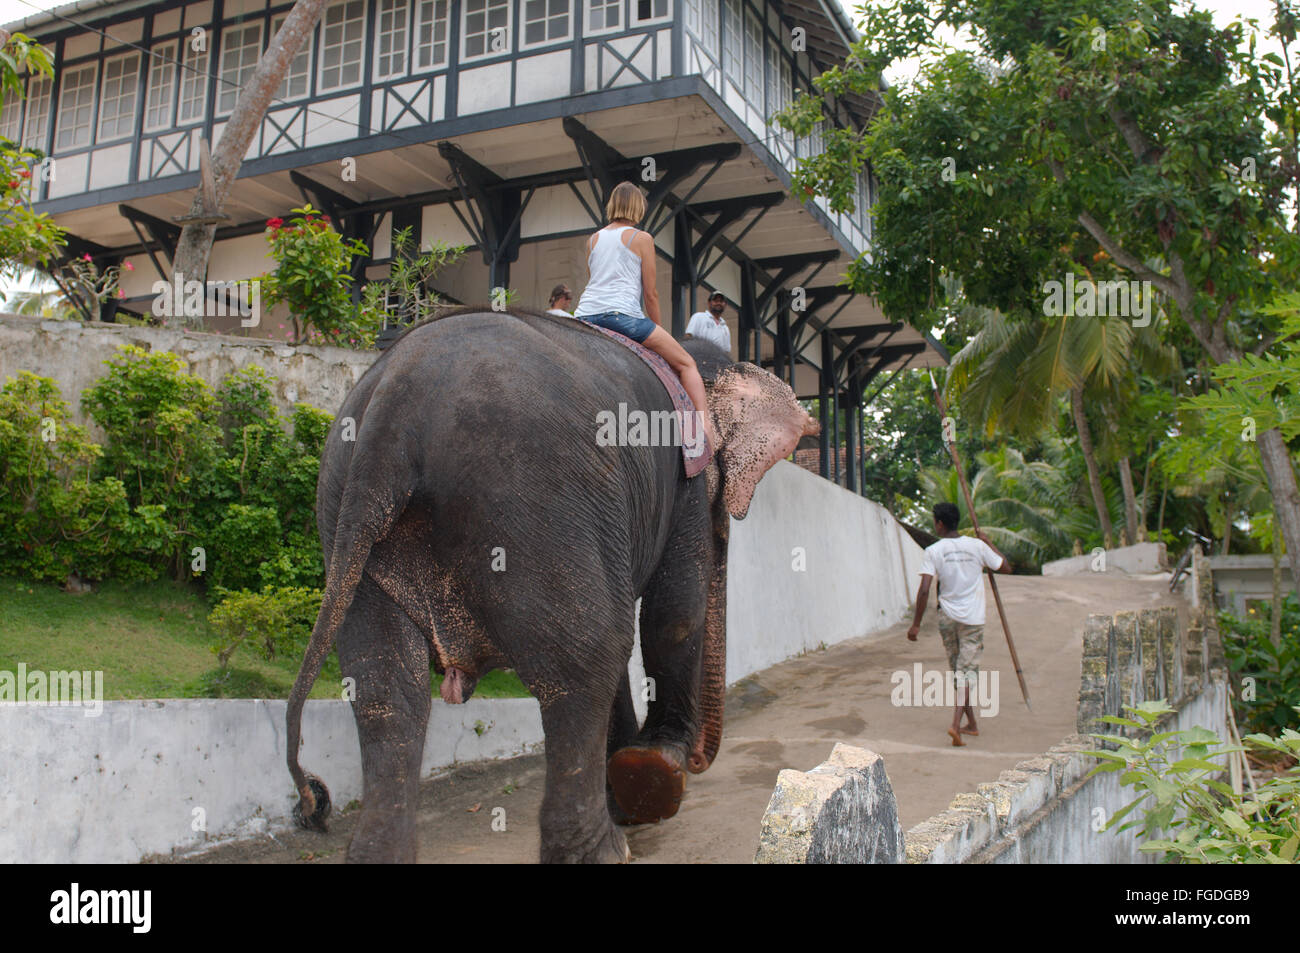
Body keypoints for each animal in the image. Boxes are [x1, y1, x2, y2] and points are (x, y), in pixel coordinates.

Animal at [286, 306, 819, 863]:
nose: (697, 761)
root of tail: (393, 408)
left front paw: (631, 783)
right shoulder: (684, 476)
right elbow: (672, 614)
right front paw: (652, 770)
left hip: (348, 518)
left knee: (384, 688)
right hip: (529, 497)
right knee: (588, 656)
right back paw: (605, 848)